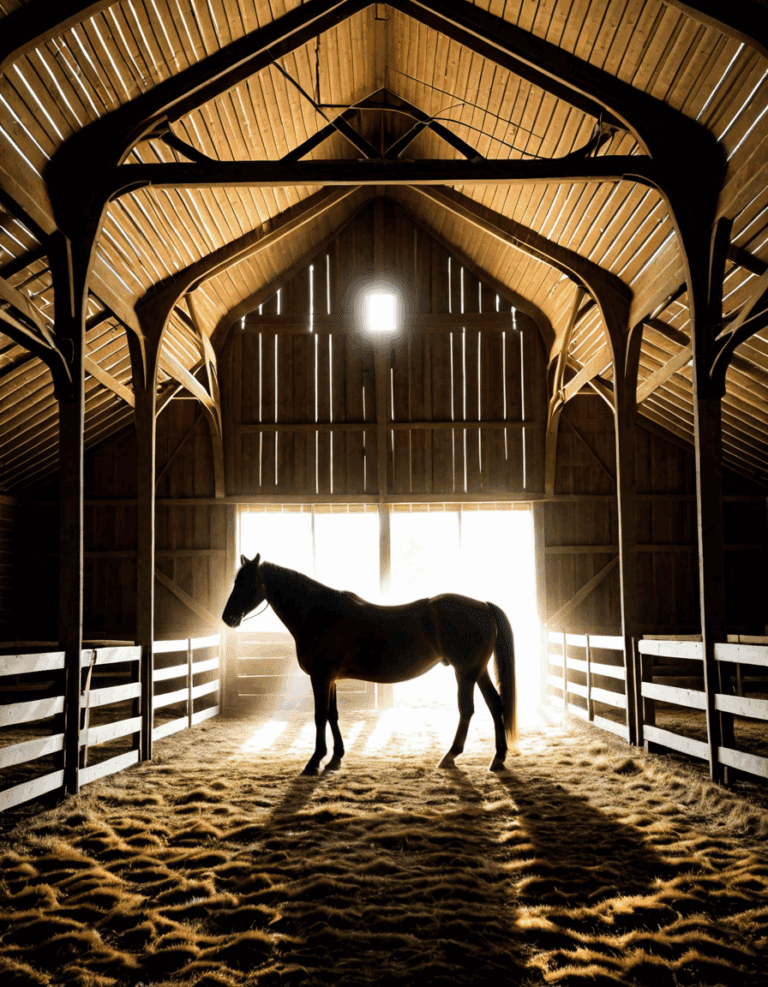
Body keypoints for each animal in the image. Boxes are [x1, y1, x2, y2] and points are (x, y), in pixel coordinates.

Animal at [222, 554, 517, 775]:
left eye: (244, 581)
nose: (227, 618)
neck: (318, 613)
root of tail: (484, 606)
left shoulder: (320, 677)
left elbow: (319, 716)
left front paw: (314, 761)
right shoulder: (331, 679)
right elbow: (332, 714)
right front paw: (336, 758)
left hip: (464, 672)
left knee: (467, 710)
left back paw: (451, 755)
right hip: (478, 670)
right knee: (495, 704)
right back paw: (498, 758)